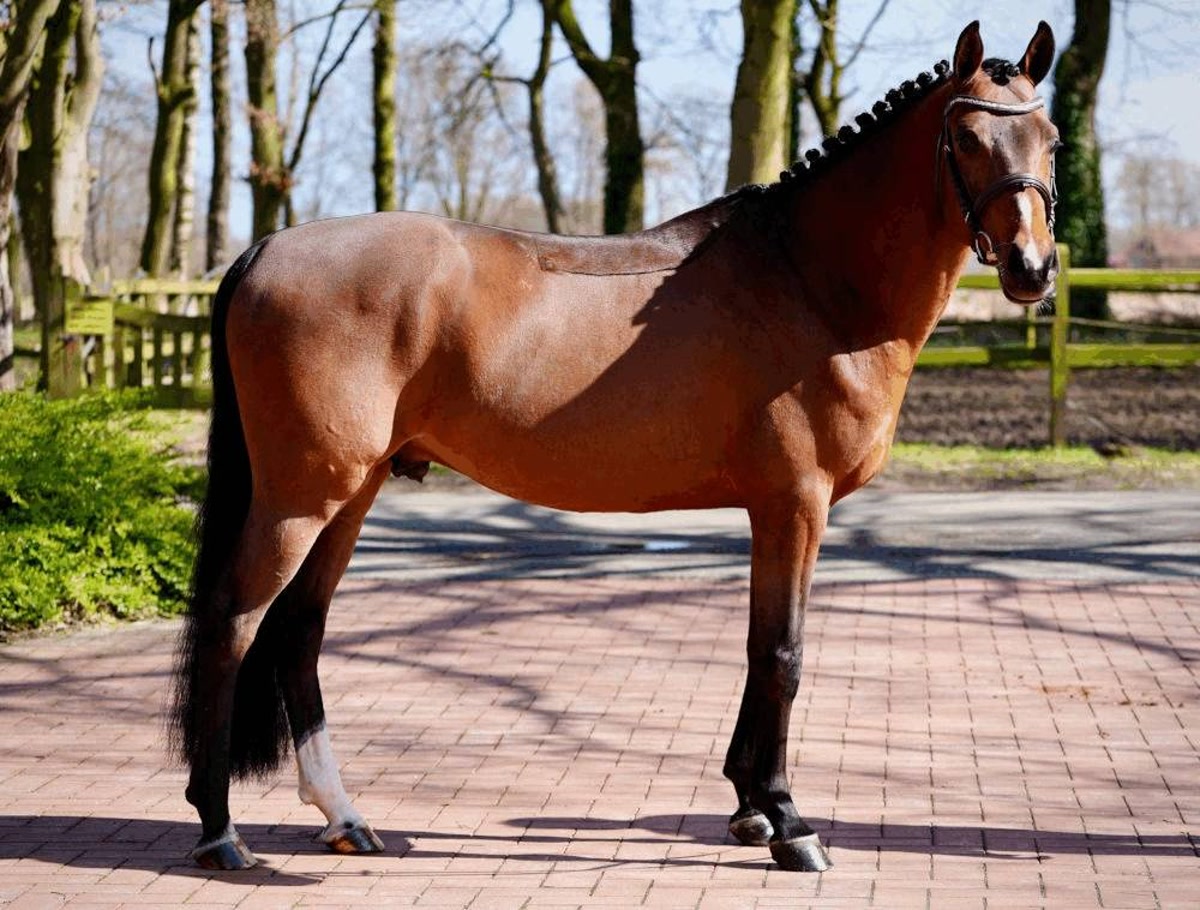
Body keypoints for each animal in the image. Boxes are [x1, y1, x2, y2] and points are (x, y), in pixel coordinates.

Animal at [172, 20, 1060, 873]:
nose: (1033, 268)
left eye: (1049, 138)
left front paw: (748, 807)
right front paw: (788, 821)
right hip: (301, 497)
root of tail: (264, 251)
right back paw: (220, 832)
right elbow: (783, 654)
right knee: (233, 622)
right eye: (967, 138)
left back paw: (345, 817)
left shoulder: (769, 511)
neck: (808, 280)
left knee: (299, 633)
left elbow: (755, 648)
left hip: (350, 494)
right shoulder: (796, 503)